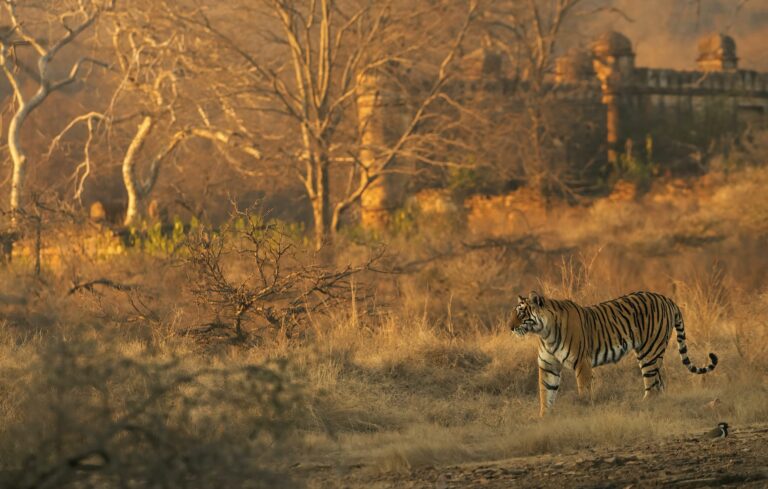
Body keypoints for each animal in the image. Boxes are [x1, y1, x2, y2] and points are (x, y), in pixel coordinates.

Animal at [510, 291, 718, 416]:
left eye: (521, 313)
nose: (509, 327)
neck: (545, 333)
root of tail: (666, 299)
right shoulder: (548, 365)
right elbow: (546, 393)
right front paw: (544, 419)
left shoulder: (582, 363)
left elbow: (583, 391)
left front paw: (583, 411)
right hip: (651, 353)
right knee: (660, 385)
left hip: (649, 352)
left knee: (652, 386)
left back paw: (642, 406)